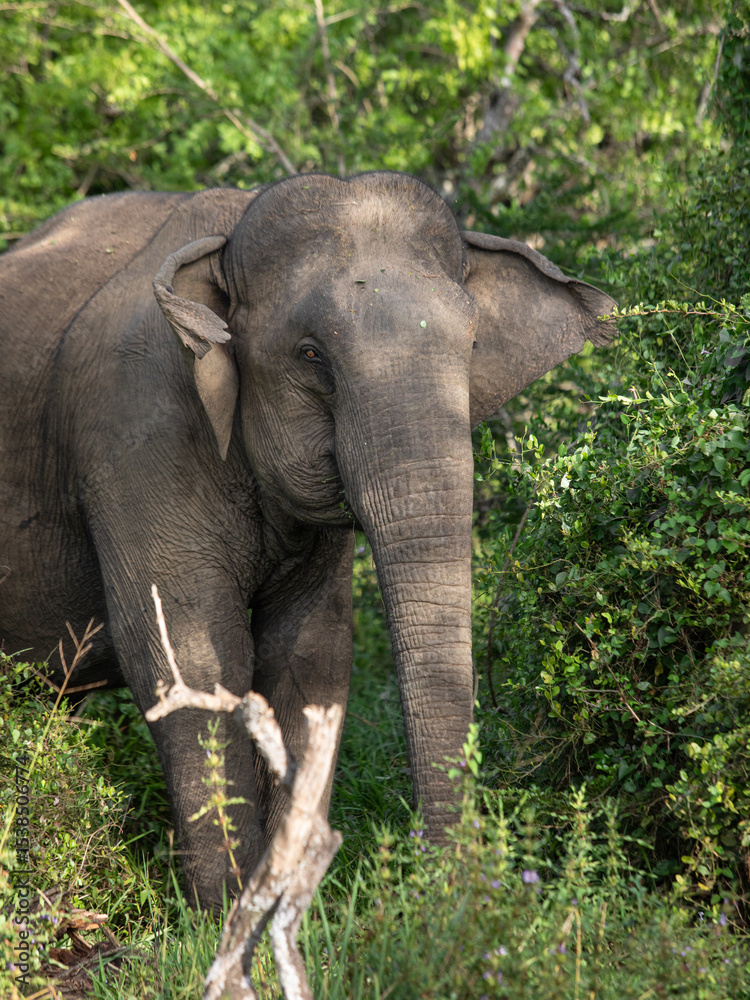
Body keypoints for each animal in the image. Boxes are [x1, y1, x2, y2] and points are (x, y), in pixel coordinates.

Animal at [0, 171, 615, 909]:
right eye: (312, 354)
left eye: (471, 346)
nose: (432, 891)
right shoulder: (131, 432)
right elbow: (191, 654)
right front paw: (223, 918)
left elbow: (310, 652)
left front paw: (285, 902)